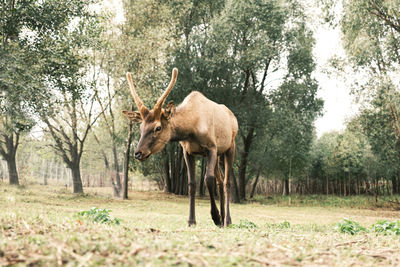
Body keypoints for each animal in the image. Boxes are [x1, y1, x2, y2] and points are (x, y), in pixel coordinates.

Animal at [122, 68, 238, 227]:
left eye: (158, 127)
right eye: (141, 127)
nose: (138, 153)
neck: (192, 128)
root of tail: (234, 118)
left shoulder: (212, 147)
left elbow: (208, 179)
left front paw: (215, 216)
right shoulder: (188, 151)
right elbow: (191, 184)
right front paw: (191, 221)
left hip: (230, 147)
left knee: (227, 182)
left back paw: (227, 220)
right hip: (218, 154)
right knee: (220, 181)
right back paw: (222, 220)